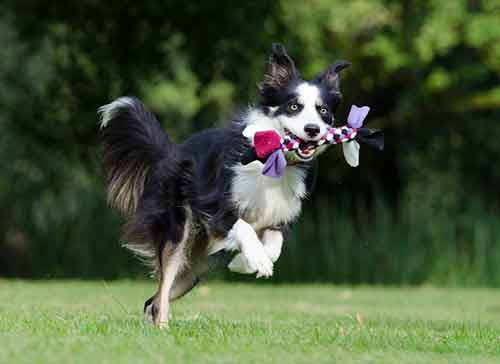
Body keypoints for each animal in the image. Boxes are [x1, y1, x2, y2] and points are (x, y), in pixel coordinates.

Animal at [96, 43, 348, 328]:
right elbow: (244, 227)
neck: (275, 160)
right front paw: (256, 259)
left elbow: (274, 247)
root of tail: (172, 152)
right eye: (294, 106)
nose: (313, 129)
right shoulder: (214, 204)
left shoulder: (278, 216)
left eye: (323, 111)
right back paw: (162, 329)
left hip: (196, 267)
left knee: (154, 301)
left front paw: (244, 262)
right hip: (178, 232)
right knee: (161, 292)